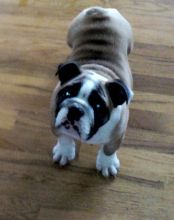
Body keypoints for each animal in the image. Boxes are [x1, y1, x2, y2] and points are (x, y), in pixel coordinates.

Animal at [50, 6, 133, 178]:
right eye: (66, 94)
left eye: (98, 106)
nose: (75, 109)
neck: (95, 70)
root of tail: (100, 11)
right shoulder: (55, 121)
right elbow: (64, 137)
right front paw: (64, 151)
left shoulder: (118, 134)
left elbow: (109, 149)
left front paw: (107, 163)